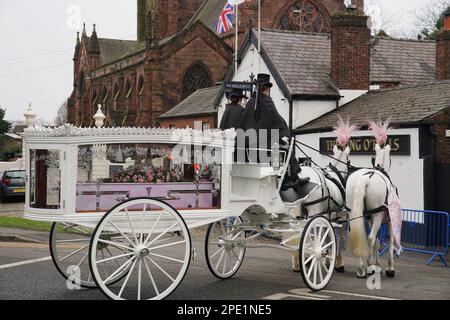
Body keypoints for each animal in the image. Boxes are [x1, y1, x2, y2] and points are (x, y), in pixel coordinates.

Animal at [348, 144, 398, 278]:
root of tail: (363, 180)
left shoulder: (370, 220)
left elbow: (377, 242)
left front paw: (377, 265)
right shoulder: (390, 221)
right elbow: (390, 242)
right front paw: (390, 268)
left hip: (355, 213)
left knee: (361, 236)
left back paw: (361, 269)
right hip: (378, 216)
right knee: (370, 238)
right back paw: (369, 266)